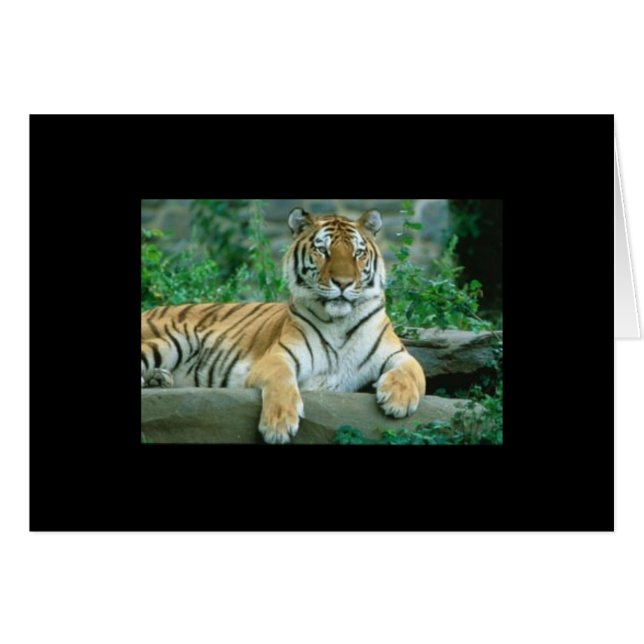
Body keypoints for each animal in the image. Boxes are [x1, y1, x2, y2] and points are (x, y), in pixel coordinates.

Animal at [141, 207, 426, 444]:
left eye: (358, 253)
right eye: (323, 251)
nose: (343, 283)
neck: (339, 321)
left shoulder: (397, 353)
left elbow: (414, 371)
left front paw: (398, 401)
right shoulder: (278, 356)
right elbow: (281, 380)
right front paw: (278, 426)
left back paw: (159, 379)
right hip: (174, 341)